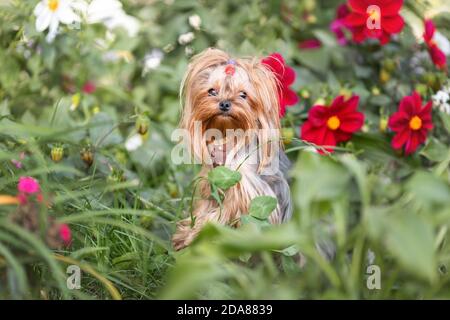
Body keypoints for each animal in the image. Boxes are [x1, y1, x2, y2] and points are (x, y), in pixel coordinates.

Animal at [172, 49, 292, 250]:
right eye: (212, 91)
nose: (224, 103)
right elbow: (206, 208)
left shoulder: (250, 192)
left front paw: (197, 234)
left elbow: (223, 214)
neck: (227, 135)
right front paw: (187, 234)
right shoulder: (211, 183)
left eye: (243, 95)